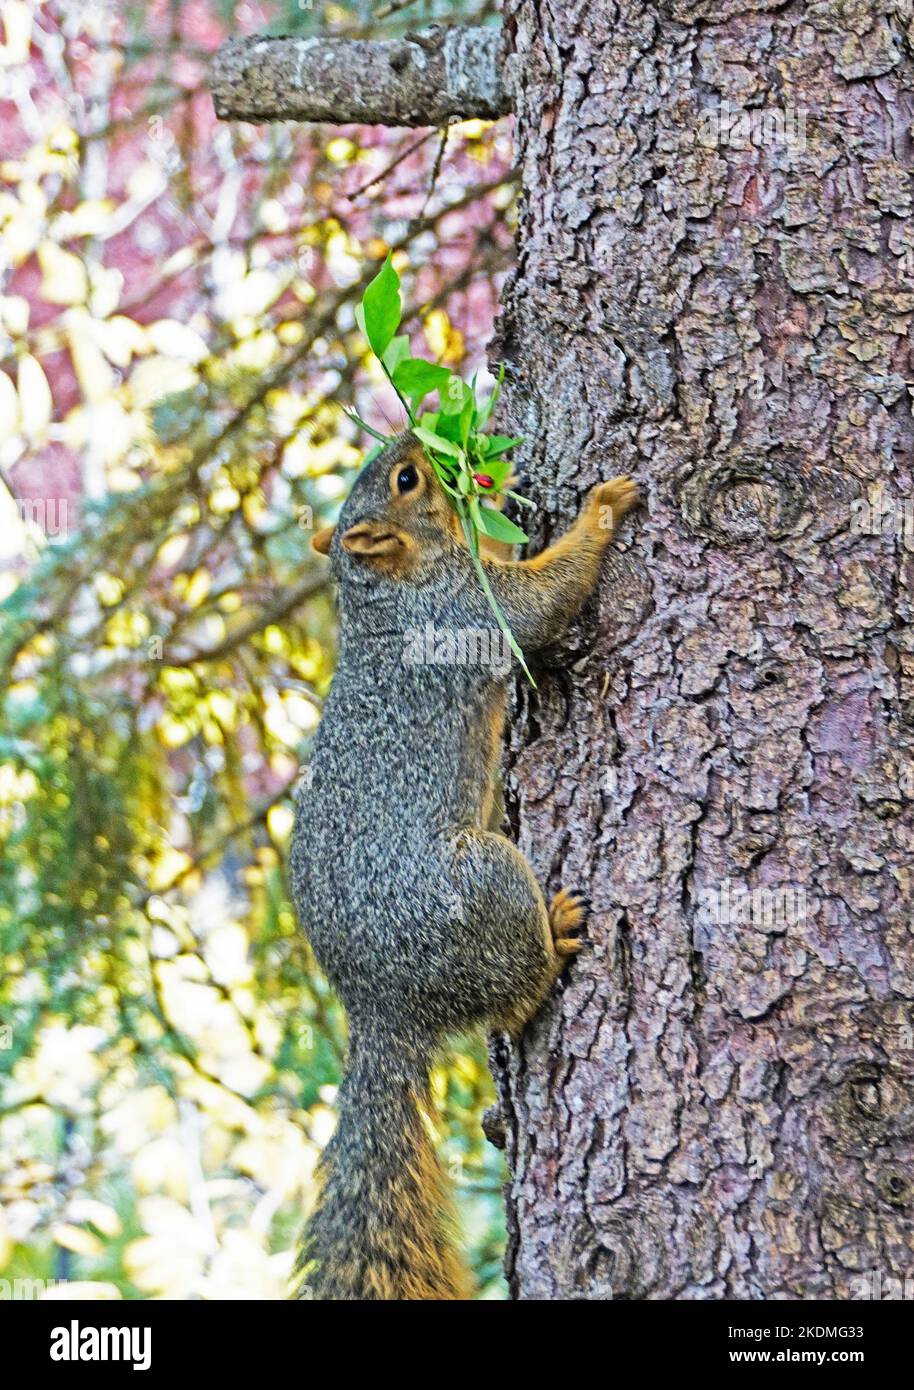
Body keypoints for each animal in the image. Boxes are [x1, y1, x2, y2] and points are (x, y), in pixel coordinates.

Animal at [288, 428, 636, 1295]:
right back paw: (557, 936)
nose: (416, 435)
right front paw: (601, 510)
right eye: (409, 479)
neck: (385, 594)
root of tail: (378, 1005)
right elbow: (538, 605)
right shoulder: (466, 608)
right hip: (481, 885)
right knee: (512, 1001)